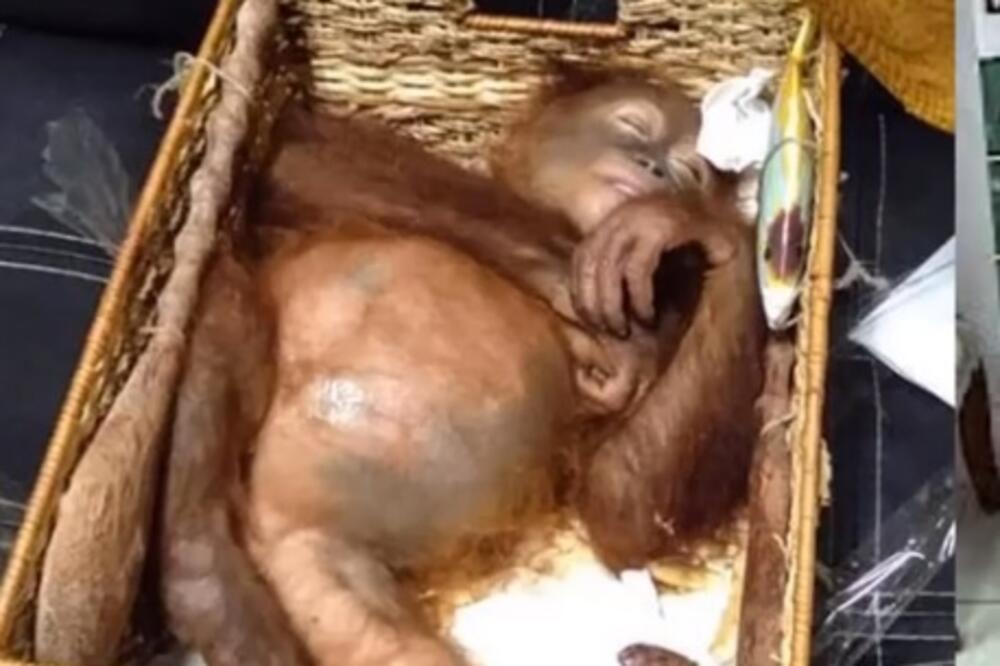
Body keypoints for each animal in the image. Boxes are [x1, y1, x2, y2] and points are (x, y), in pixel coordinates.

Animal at [160, 66, 765, 666]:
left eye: (688, 173)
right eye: (633, 125)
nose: (656, 169)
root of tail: (276, 526)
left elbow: (622, 510)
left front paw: (689, 224)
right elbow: (290, 154)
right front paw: (574, 278)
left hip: (331, 573)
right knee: (225, 293)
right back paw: (203, 571)